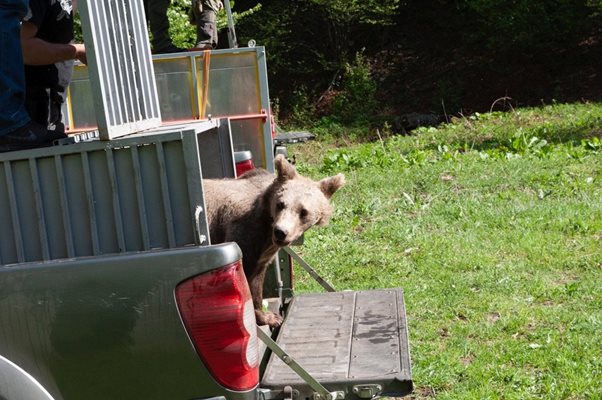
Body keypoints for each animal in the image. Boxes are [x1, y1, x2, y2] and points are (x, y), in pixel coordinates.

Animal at [202, 155, 342, 326]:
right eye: (280, 204)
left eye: (304, 211)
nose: (281, 232)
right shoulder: (244, 231)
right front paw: (266, 317)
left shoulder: (263, 251)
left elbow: (256, 279)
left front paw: (268, 316)